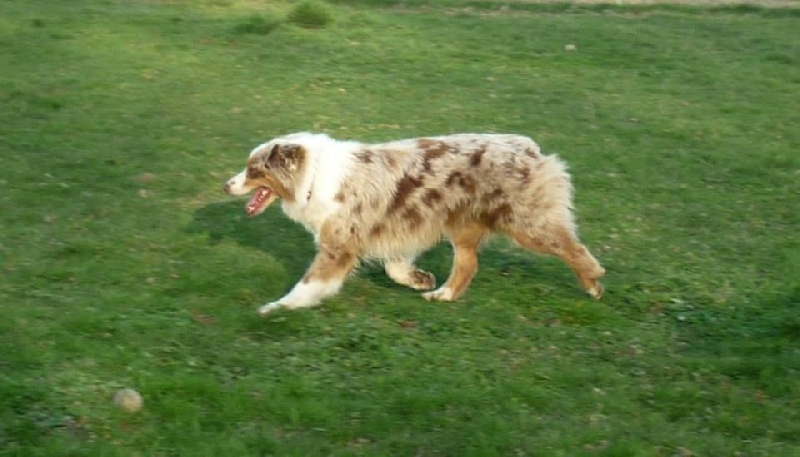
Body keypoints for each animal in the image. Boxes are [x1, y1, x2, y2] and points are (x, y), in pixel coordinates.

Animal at [224, 132, 605, 315]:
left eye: (253, 170)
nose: (225, 185)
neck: (313, 176)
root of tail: (529, 146)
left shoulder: (339, 244)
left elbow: (308, 284)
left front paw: (276, 307)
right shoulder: (397, 228)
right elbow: (395, 268)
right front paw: (419, 279)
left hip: (526, 221)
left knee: (573, 246)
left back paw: (593, 283)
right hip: (463, 224)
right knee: (468, 264)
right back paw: (442, 294)